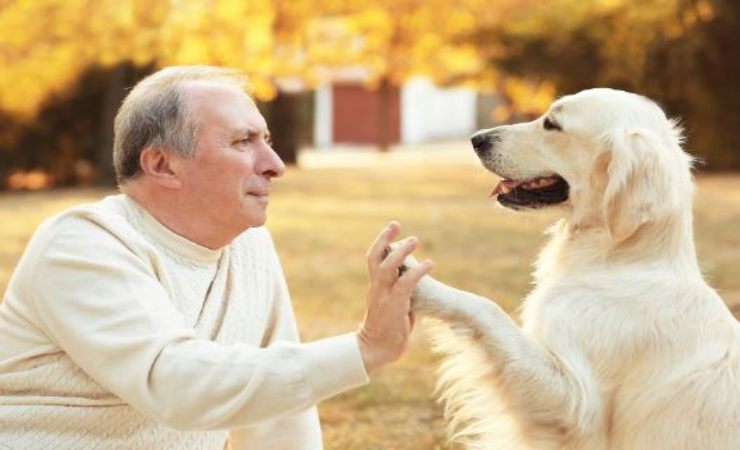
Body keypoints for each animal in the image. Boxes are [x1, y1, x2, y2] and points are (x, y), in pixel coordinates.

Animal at [410, 89, 740, 450]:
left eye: (552, 124)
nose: (477, 139)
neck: (620, 260)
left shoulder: (578, 408)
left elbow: (486, 309)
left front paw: (415, 278)